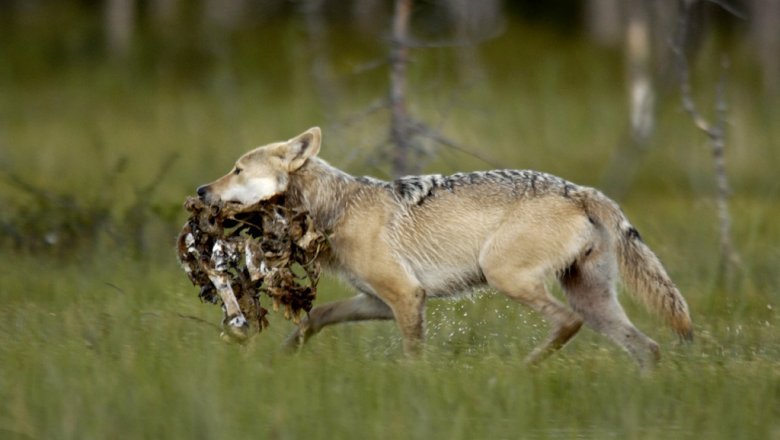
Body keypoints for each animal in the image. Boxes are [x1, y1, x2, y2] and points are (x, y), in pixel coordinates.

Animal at [197, 128, 696, 372]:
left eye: (237, 170)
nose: (201, 189)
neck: (333, 208)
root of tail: (582, 190)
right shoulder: (379, 301)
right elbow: (317, 315)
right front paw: (282, 357)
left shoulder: (406, 296)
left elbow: (412, 355)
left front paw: (415, 389)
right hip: (593, 299)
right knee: (648, 347)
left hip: (508, 277)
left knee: (568, 323)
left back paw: (523, 369)